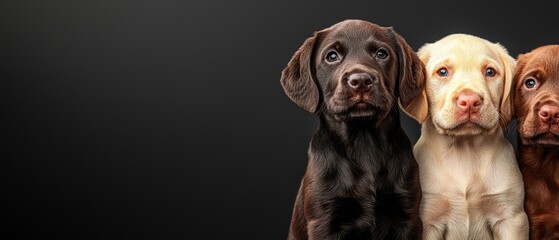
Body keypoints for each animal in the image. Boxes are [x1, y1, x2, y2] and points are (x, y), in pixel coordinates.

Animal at [280, 19, 424, 240]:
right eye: (332, 56)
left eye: (381, 53)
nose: (361, 81)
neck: (363, 142)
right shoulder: (324, 221)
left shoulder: (408, 217)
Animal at [402, 32, 528, 239]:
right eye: (442, 72)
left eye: (490, 72)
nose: (469, 101)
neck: (465, 152)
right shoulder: (428, 219)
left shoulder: (511, 218)